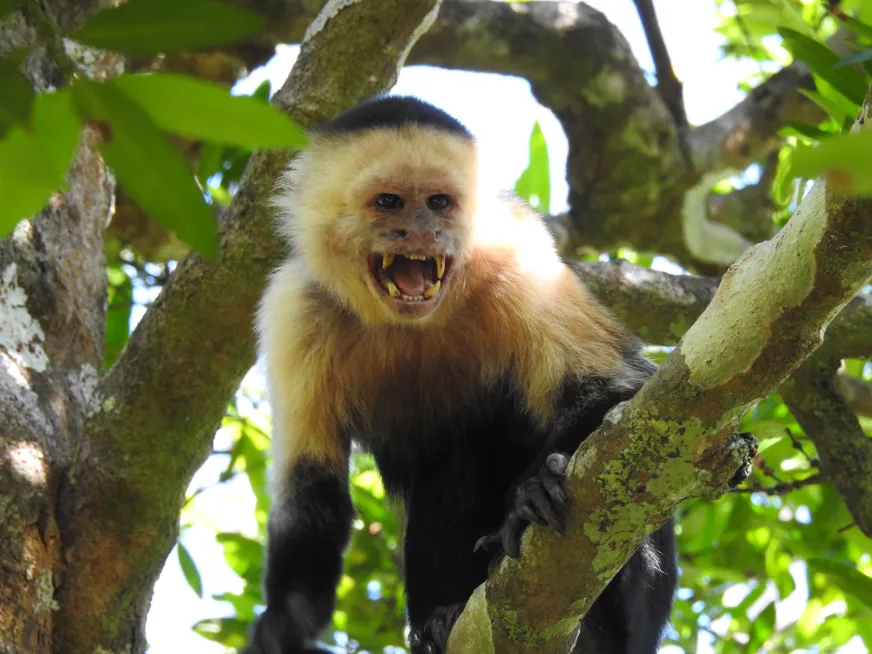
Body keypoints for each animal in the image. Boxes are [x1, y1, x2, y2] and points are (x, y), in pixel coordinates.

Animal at [243, 95, 678, 654]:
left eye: (438, 203)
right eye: (389, 202)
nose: (423, 232)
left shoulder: (517, 259)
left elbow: (617, 389)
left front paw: (534, 489)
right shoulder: (293, 309)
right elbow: (310, 488)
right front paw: (285, 623)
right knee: (452, 456)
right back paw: (439, 618)